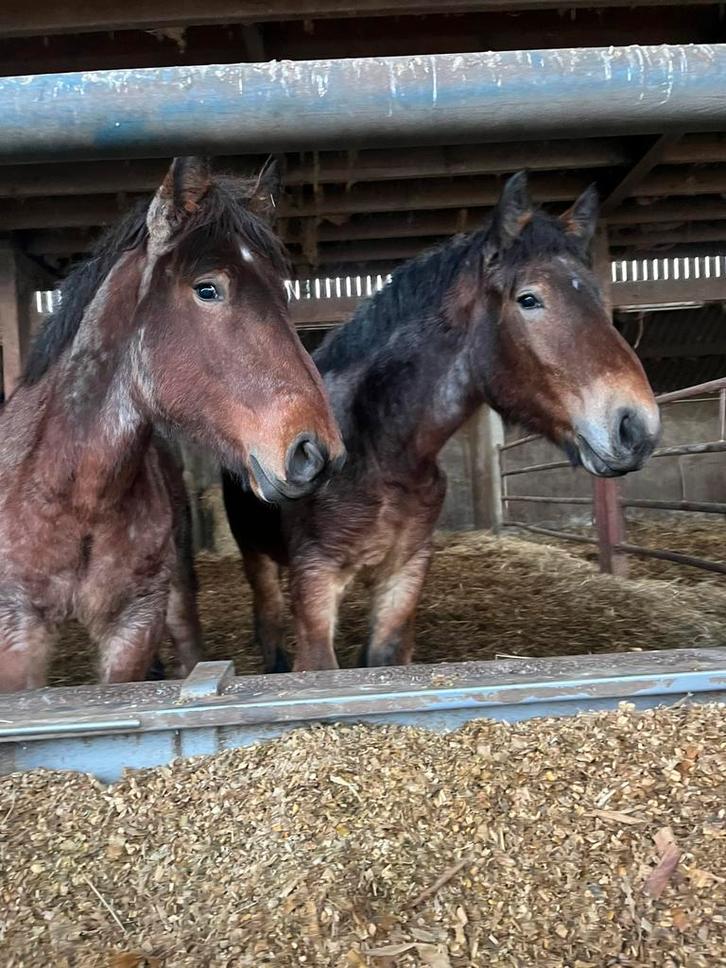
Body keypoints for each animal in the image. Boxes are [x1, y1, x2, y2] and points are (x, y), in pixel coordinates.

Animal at [0, 157, 343, 692]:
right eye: (207, 288)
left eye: (283, 292)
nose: (316, 452)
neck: (72, 494)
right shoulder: (16, 629)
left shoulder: (133, 624)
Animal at [223, 171, 661, 673]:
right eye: (529, 299)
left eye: (595, 294)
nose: (636, 426)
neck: (381, 454)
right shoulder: (316, 575)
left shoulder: (406, 570)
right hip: (254, 554)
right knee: (268, 621)